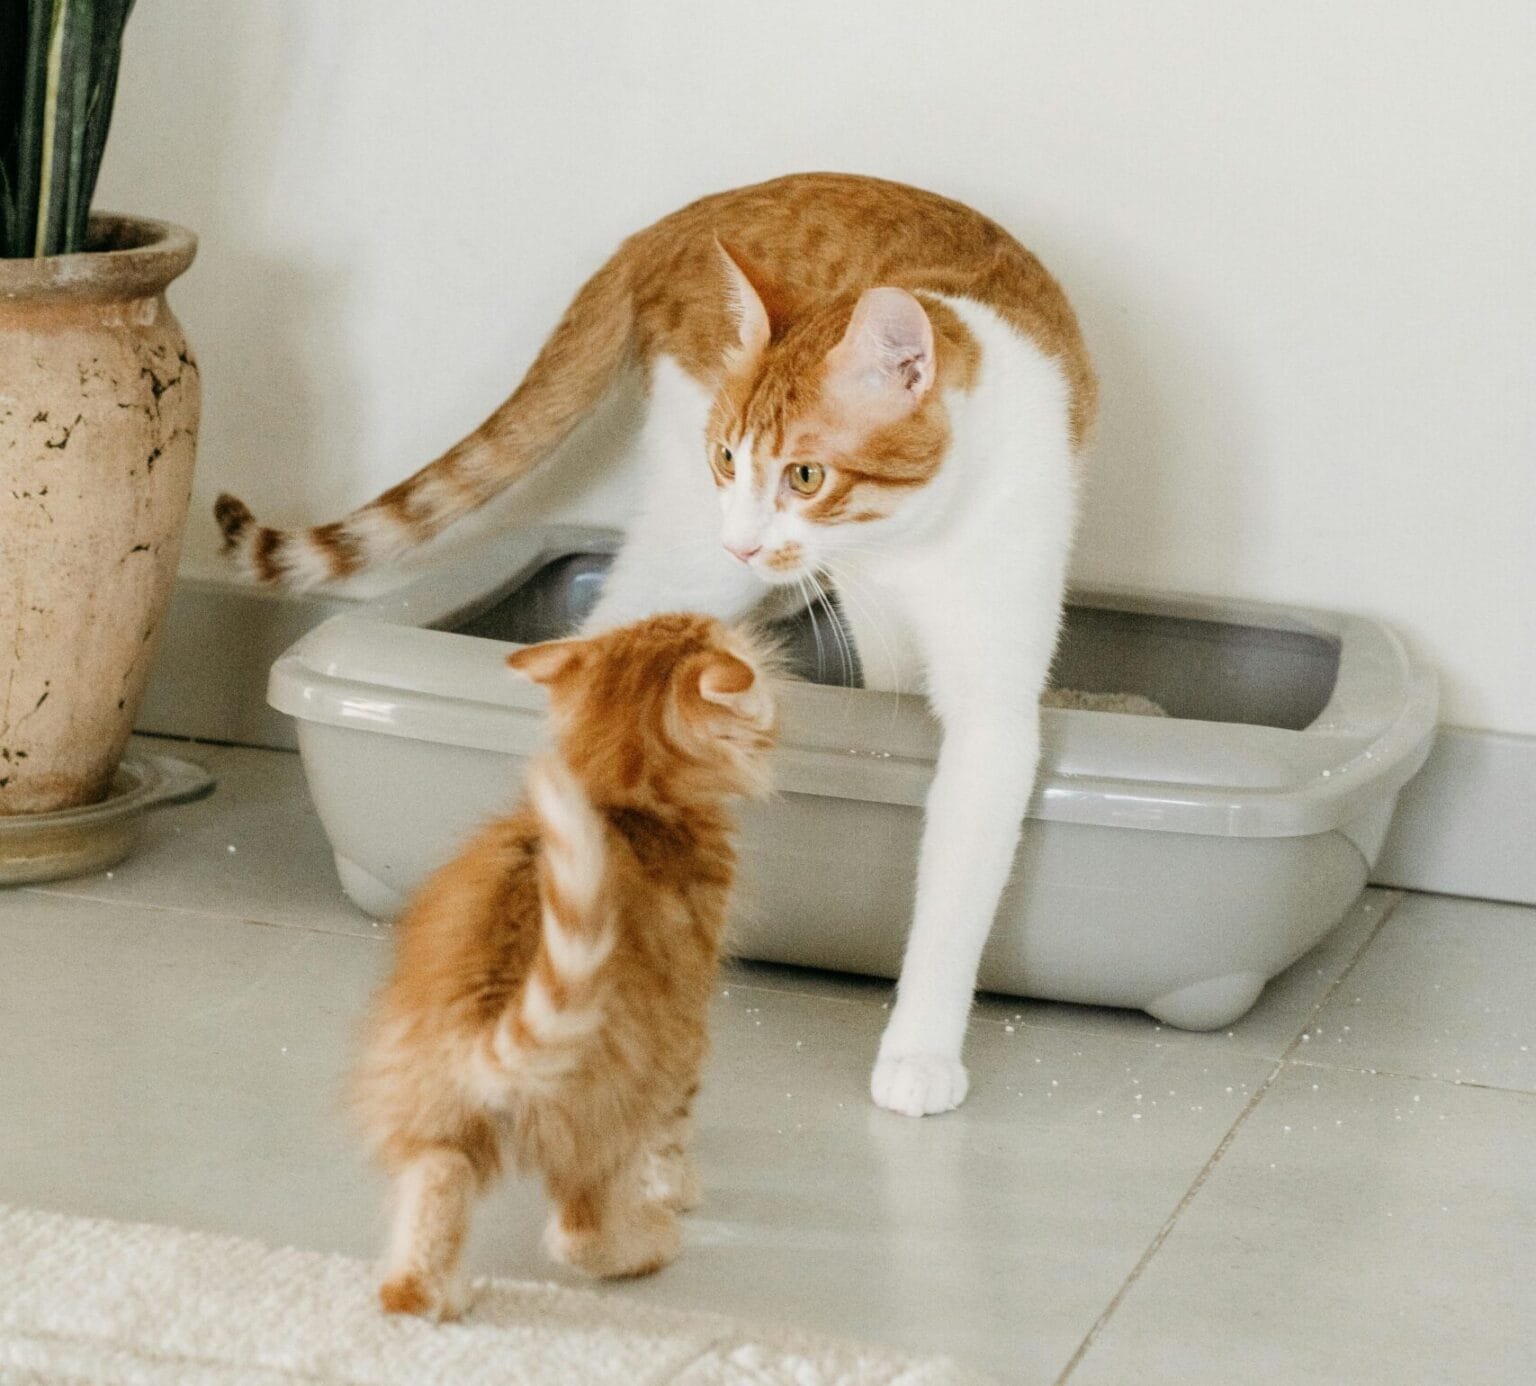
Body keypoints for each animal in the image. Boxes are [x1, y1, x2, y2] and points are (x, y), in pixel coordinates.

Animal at [224, 176, 1093, 1130]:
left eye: (806, 476)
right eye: (729, 457)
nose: (746, 540)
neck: (914, 540)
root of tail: (670, 221)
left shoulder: (980, 693)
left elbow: (953, 877)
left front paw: (920, 1047)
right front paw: (922, 1056)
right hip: (690, 555)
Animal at [351, 614, 774, 1321]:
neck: (617, 795)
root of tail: (489, 1018)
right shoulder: (684, 1027)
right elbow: (674, 1129)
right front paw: (679, 1190)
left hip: (437, 1118)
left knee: (432, 1205)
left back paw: (433, 1296)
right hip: (604, 1117)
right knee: (579, 1230)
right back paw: (653, 1242)